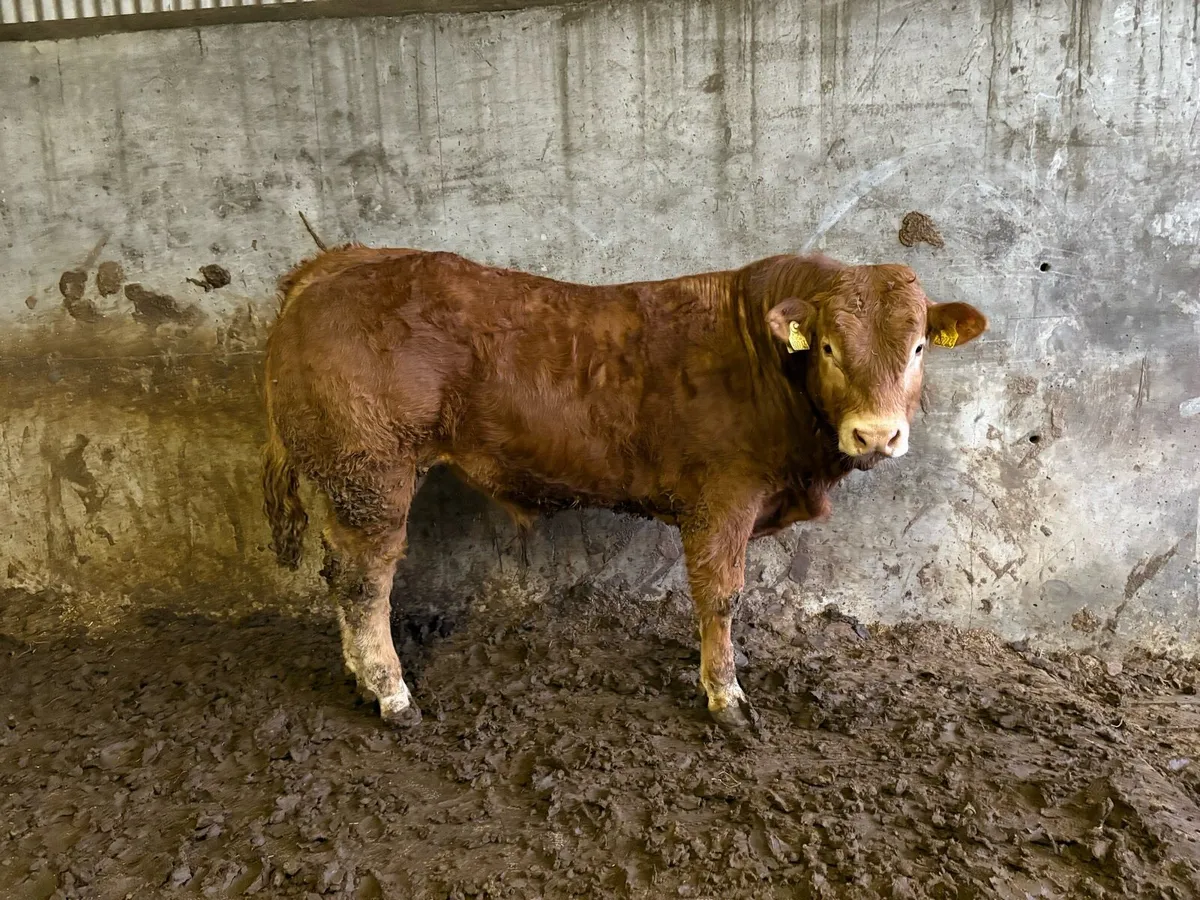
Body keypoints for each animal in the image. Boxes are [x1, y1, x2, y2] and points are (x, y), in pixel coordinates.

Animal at [261, 246, 987, 730]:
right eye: (830, 347)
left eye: (919, 347)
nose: (876, 435)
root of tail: (338, 262)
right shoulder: (723, 499)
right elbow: (721, 596)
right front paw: (725, 694)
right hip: (371, 472)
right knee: (365, 582)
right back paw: (392, 695)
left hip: (349, 480)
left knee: (340, 574)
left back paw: (362, 680)